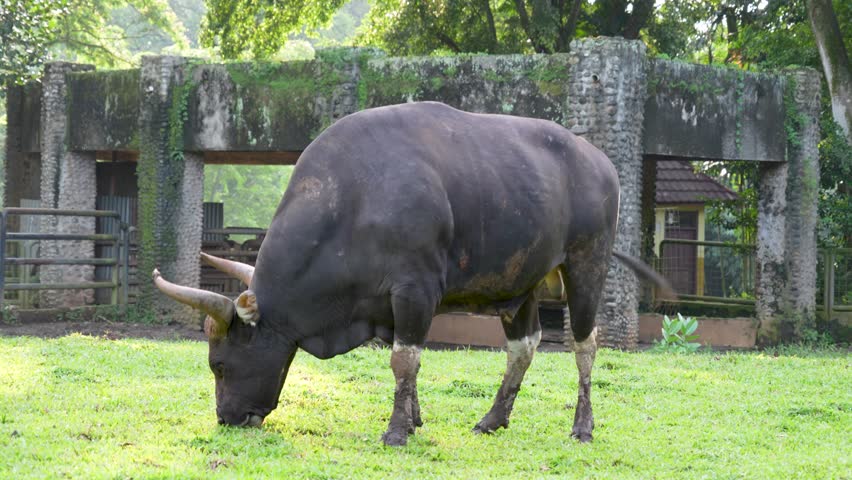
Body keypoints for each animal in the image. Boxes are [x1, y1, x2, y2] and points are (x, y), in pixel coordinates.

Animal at [152, 101, 669, 446]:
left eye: (219, 364)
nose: (227, 418)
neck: (356, 198)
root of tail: (599, 161)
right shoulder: (392, 306)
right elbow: (408, 361)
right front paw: (415, 418)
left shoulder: (415, 291)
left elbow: (405, 359)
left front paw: (397, 430)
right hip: (521, 283)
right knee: (523, 347)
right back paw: (493, 418)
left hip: (586, 266)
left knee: (584, 345)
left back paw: (582, 425)